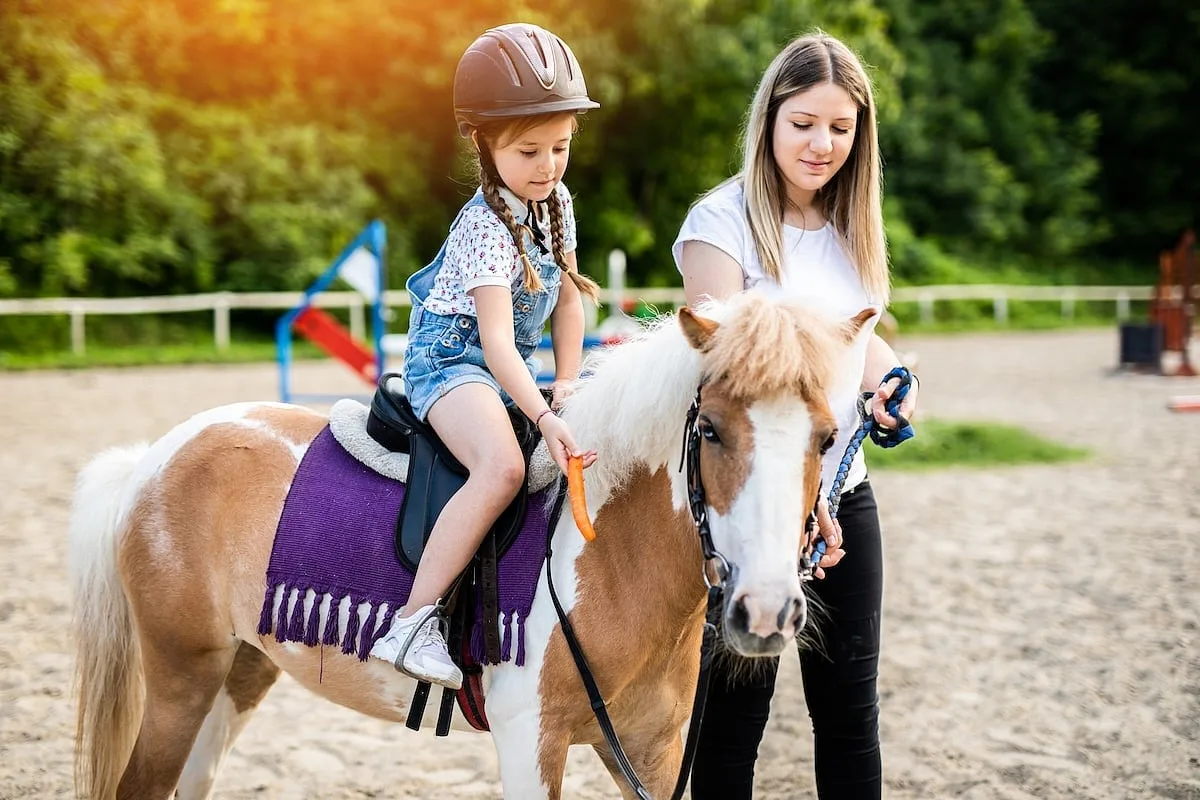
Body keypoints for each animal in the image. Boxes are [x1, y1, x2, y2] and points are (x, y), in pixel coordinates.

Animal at [69, 291, 875, 800]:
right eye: (708, 429)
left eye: (828, 436)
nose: (766, 613)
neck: (608, 555)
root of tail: (152, 458)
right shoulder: (530, 745)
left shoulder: (652, 753)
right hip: (182, 675)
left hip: (240, 671)